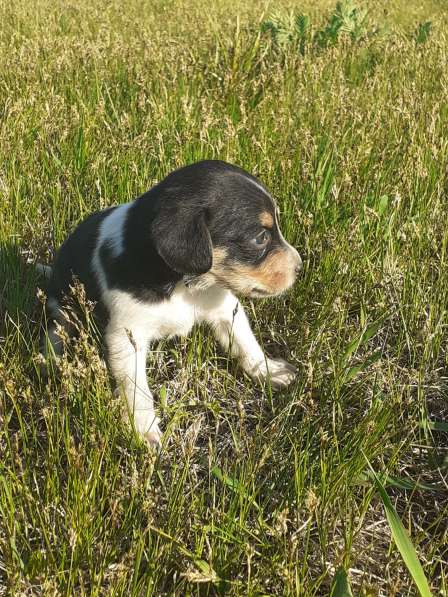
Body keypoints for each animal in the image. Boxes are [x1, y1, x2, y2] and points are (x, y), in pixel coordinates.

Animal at [40, 161, 302, 444]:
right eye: (260, 237)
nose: (299, 267)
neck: (183, 285)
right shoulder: (127, 336)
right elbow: (136, 389)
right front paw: (143, 430)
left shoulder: (224, 308)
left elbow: (247, 344)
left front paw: (270, 371)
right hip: (63, 302)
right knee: (57, 327)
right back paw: (50, 358)